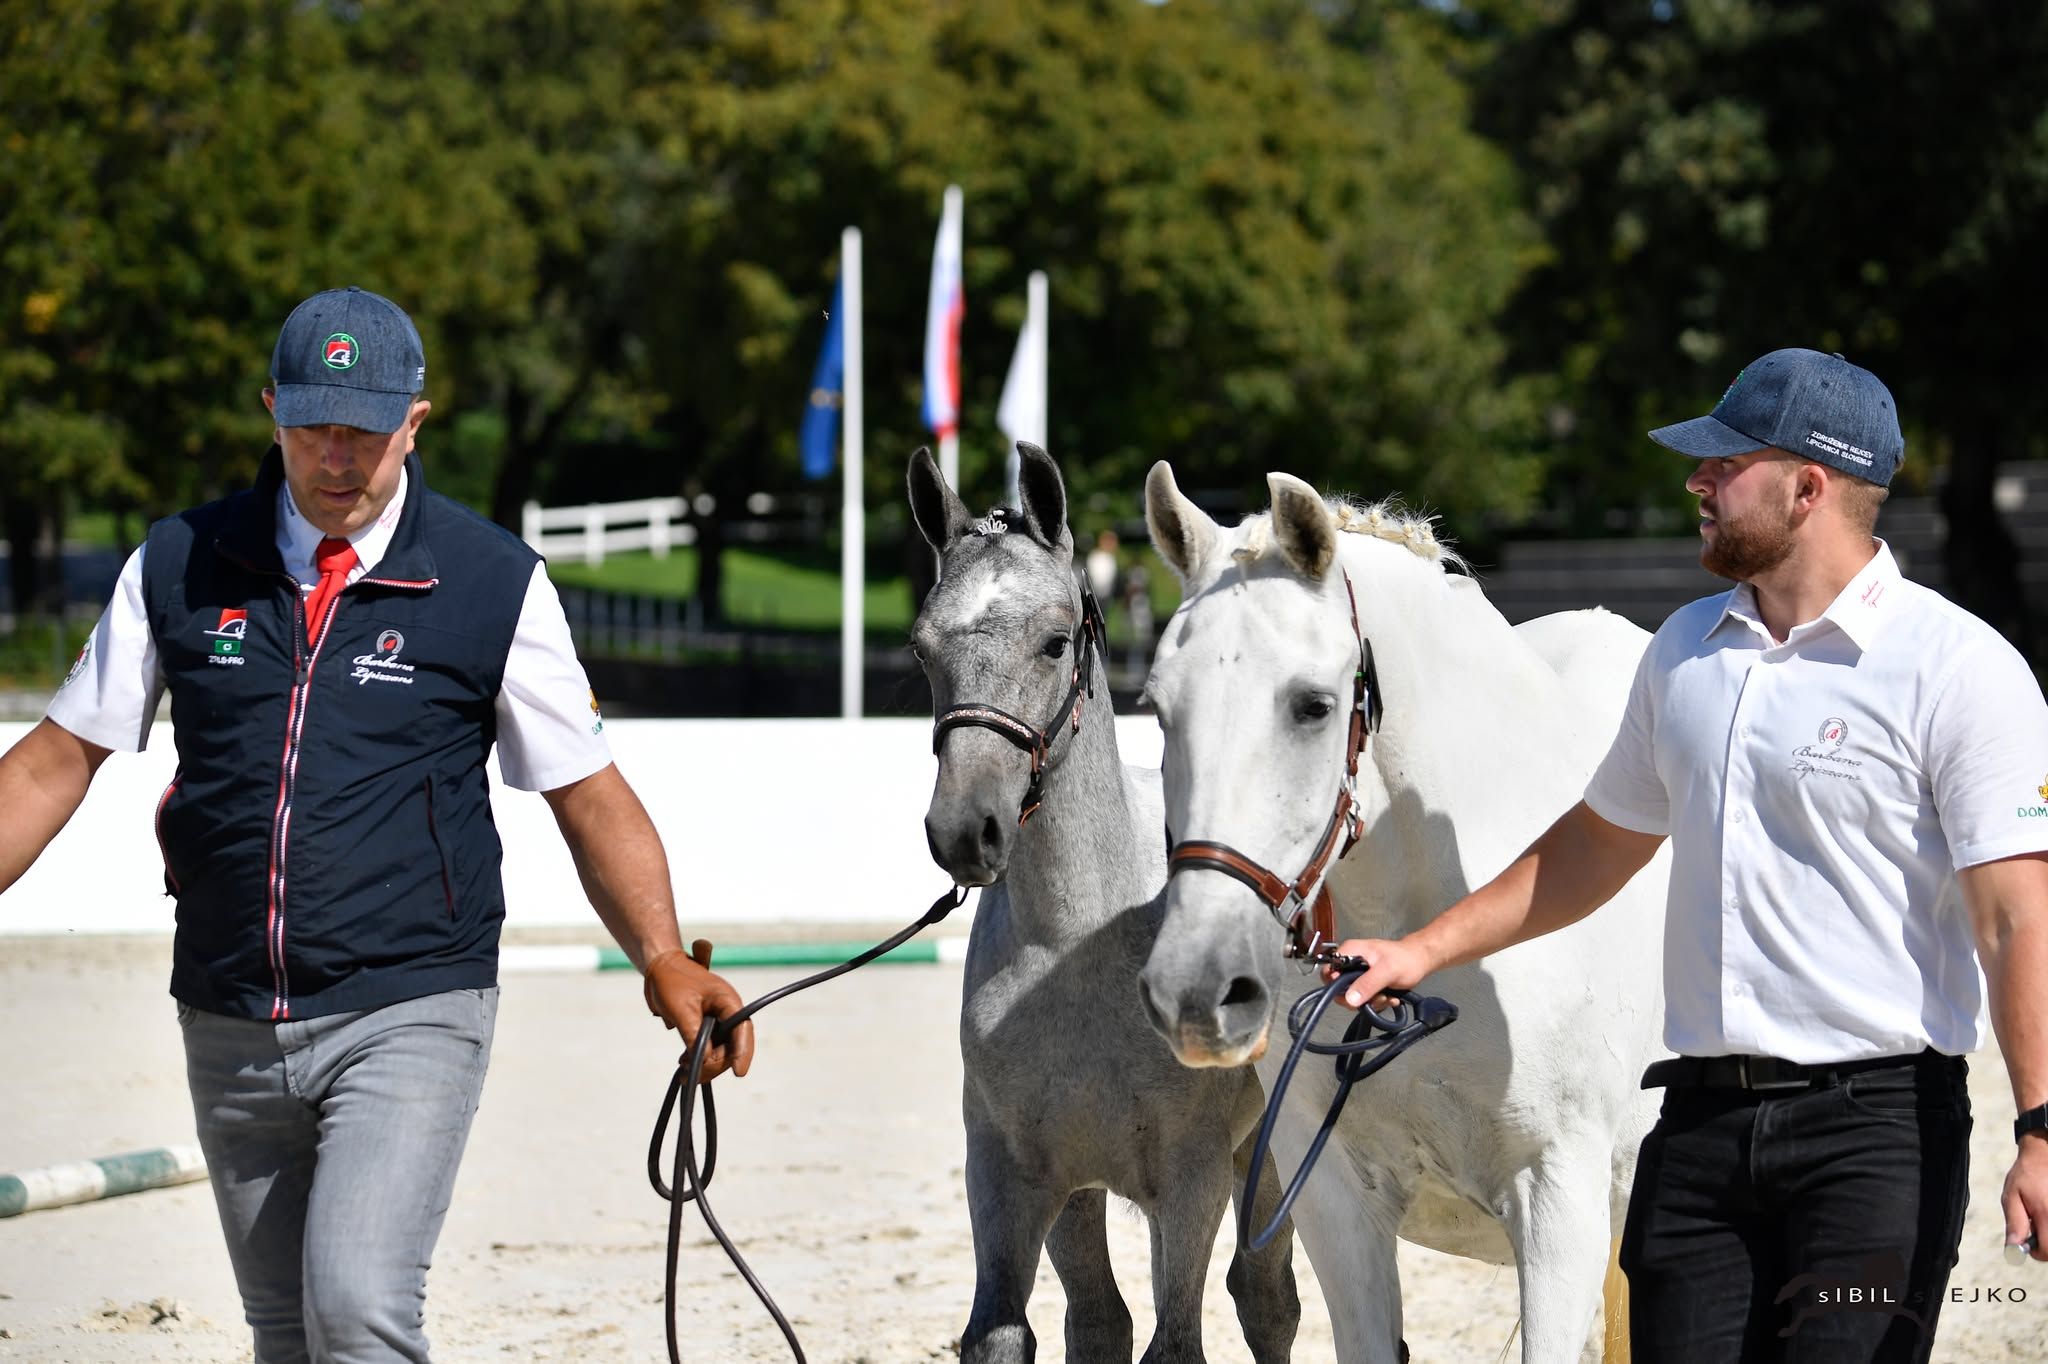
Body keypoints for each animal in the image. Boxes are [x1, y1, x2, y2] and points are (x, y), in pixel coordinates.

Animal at [908, 442, 1299, 1364]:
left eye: (1054, 643)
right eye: (921, 651)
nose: (964, 831)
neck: (1077, 945)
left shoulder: (1190, 1183)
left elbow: (1176, 1339)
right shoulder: (1023, 1180)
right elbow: (1042, 1329)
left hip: (1266, 1163)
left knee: (1267, 1299)